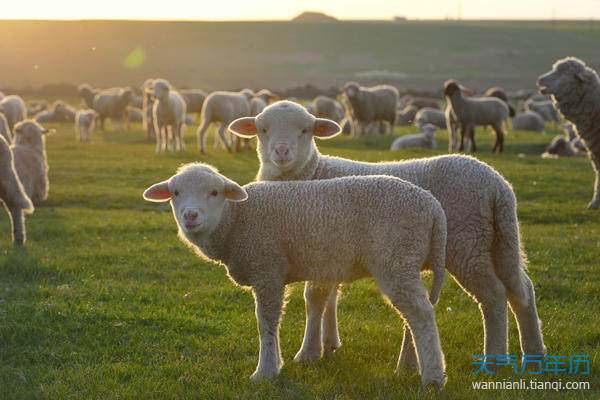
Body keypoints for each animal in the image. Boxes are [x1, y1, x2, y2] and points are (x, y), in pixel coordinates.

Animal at [144, 162, 446, 388]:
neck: (237, 220)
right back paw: (409, 367)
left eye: (215, 192)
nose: (190, 216)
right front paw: (276, 365)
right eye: (175, 193)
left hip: (395, 257)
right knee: (413, 316)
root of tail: (432, 205)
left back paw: (433, 378)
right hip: (404, 262)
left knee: (421, 314)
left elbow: (266, 322)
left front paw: (265, 372)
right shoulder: (270, 271)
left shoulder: (267, 268)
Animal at [227, 100, 548, 376]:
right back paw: (534, 354)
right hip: (500, 239)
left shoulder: (319, 245)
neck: (312, 172)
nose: (281, 152)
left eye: (306, 130)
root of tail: (497, 186)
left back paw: (494, 359)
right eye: (262, 129)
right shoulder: (328, 252)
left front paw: (308, 353)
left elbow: (314, 299)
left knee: (493, 294)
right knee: (521, 289)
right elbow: (330, 298)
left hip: (466, 243)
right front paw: (329, 344)